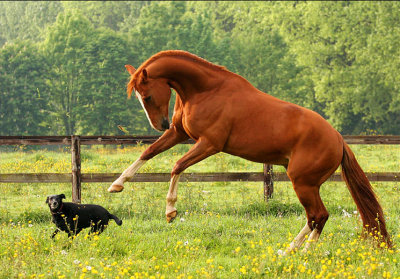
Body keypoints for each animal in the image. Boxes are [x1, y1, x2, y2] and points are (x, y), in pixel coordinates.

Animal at [108, 50, 390, 254]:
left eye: (146, 96)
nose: (160, 125)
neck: (205, 90)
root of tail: (339, 140)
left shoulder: (209, 143)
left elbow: (176, 165)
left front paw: (170, 211)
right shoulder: (179, 133)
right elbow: (148, 152)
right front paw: (116, 185)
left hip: (303, 183)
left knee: (318, 216)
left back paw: (303, 252)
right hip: (307, 184)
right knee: (315, 217)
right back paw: (289, 251)